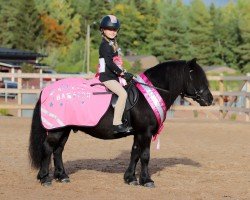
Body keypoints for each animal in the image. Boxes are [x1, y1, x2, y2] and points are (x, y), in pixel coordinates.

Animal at [28, 57, 213, 188]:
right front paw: (146, 180)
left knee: (58, 150)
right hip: (57, 129)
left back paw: (62, 176)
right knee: (48, 148)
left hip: (65, 128)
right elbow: (145, 156)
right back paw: (45, 178)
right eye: (195, 77)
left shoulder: (138, 133)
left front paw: (130, 178)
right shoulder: (145, 132)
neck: (147, 96)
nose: (209, 99)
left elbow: (135, 154)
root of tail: (47, 89)